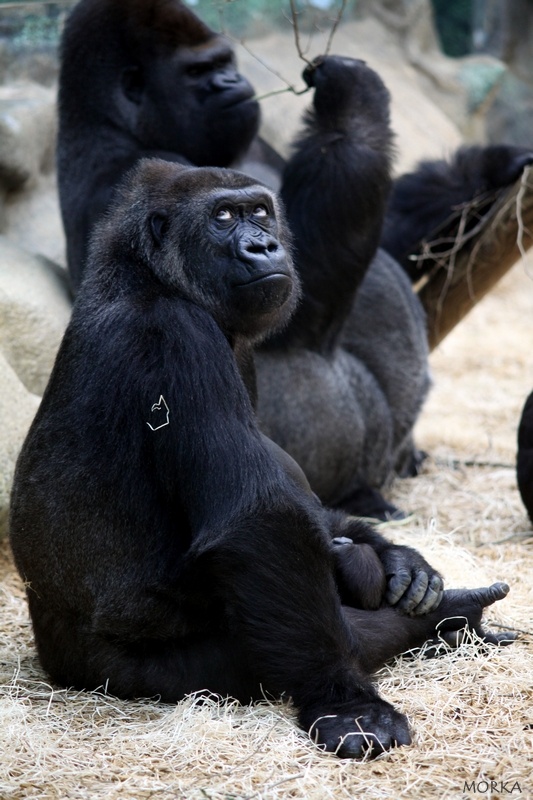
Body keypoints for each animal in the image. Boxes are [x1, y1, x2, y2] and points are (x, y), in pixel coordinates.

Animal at [9, 159, 516, 760]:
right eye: (224, 217)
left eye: (260, 211)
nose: (264, 246)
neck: (143, 273)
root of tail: (56, 661)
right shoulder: (177, 337)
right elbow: (258, 517)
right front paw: (347, 702)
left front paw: (400, 559)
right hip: (134, 674)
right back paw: (448, 619)